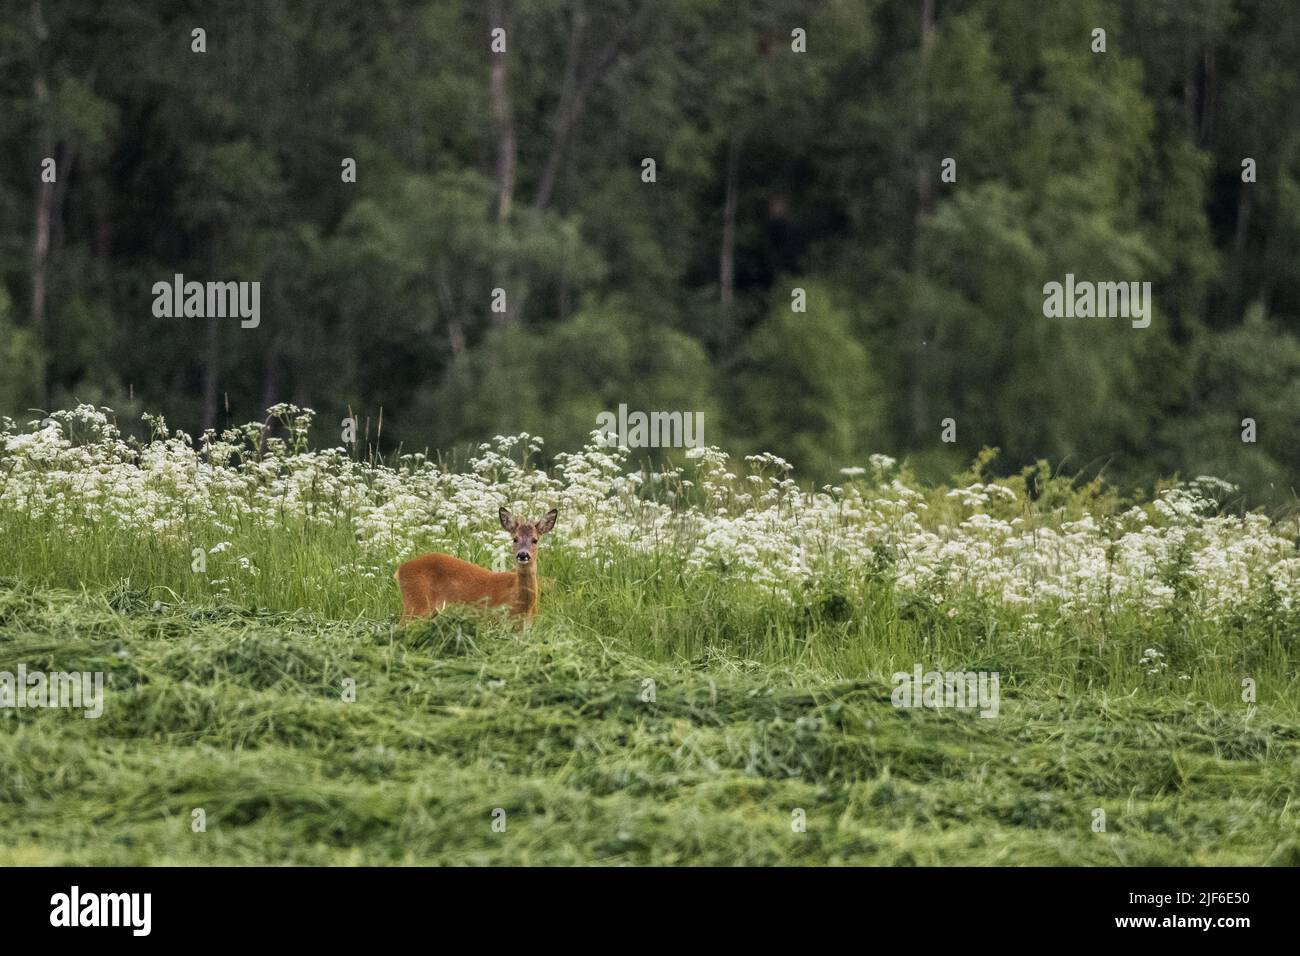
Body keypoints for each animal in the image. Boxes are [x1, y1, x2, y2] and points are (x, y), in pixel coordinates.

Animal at [395, 504, 559, 624]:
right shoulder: (494, 620)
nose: (523, 554)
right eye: (515, 539)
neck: (523, 605)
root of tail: (400, 569)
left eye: (535, 540)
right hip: (416, 604)